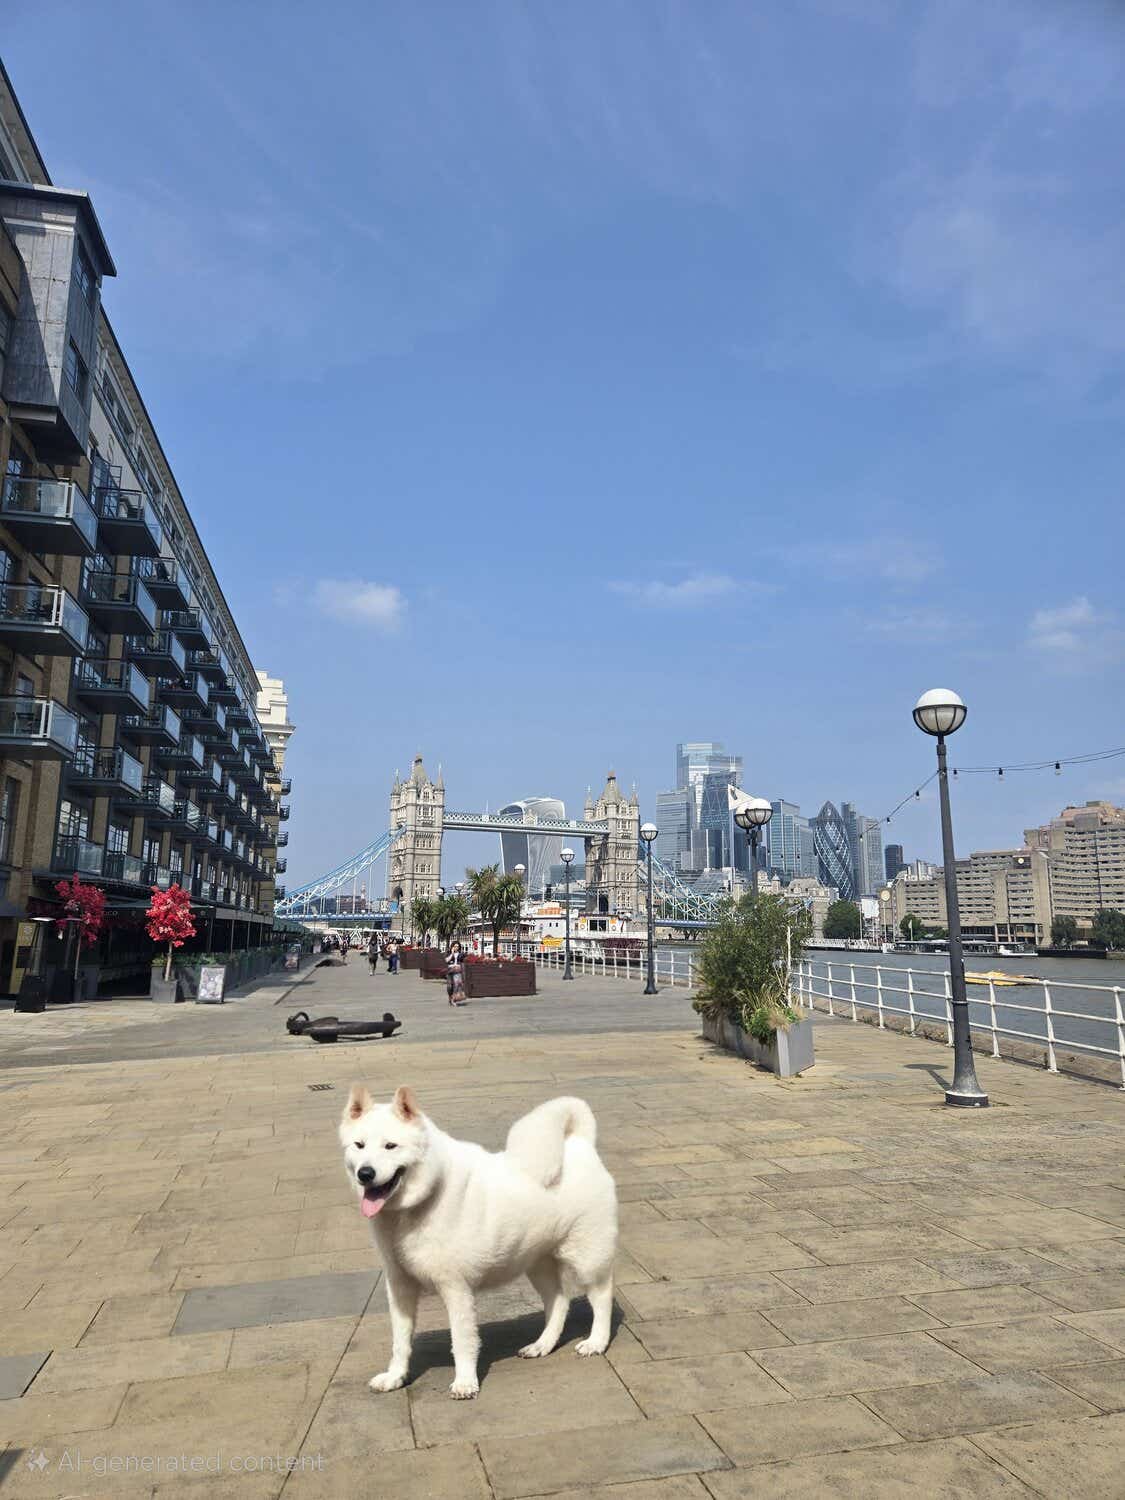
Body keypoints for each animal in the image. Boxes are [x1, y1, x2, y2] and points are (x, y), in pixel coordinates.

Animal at [339, 1086, 621, 1398]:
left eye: (391, 1146)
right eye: (359, 1145)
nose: (365, 1174)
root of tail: (580, 1144)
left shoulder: (456, 1288)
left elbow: (462, 1341)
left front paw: (465, 1382)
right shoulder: (400, 1286)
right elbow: (400, 1341)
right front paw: (396, 1376)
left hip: (586, 1257)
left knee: (602, 1296)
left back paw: (596, 1342)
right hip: (538, 1262)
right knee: (559, 1301)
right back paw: (542, 1345)